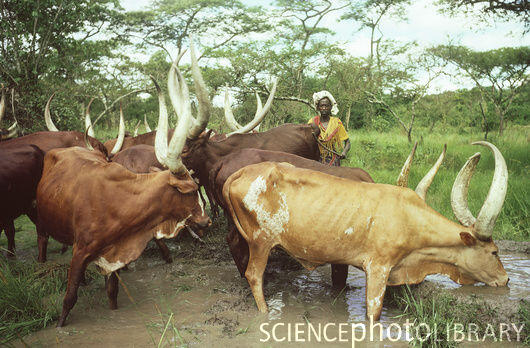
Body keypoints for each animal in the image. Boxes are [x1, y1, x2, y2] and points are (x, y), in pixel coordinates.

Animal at [222, 143, 508, 322]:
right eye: (494, 252)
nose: (505, 280)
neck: (409, 219)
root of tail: (238, 173)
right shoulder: (379, 268)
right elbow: (374, 314)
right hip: (260, 242)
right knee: (253, 275)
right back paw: (264, 313)